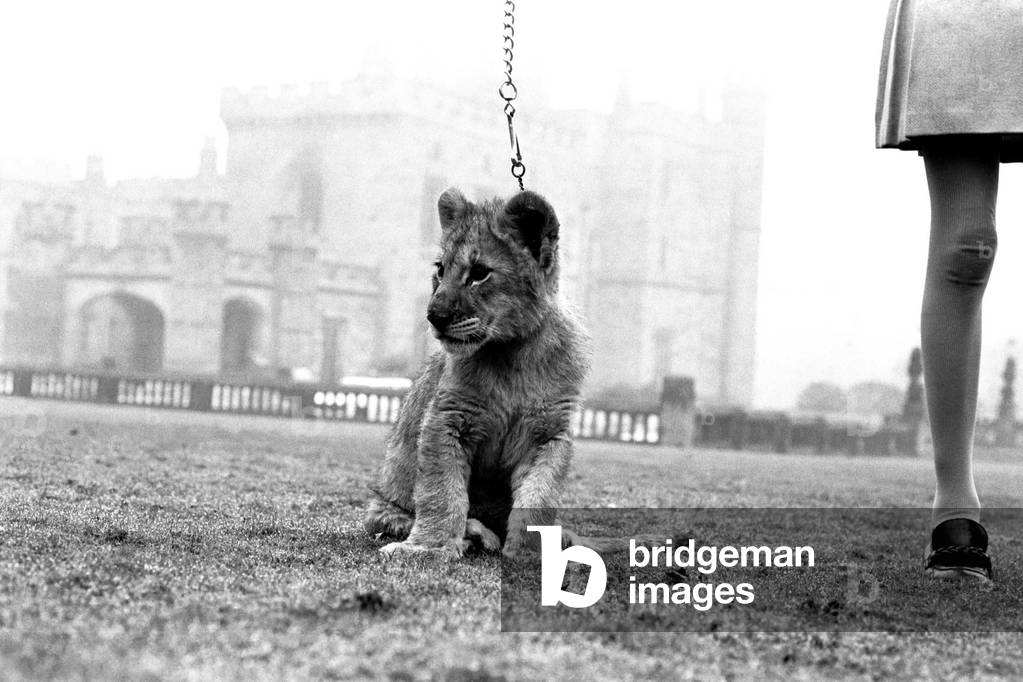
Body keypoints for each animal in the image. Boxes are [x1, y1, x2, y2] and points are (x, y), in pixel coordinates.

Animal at [363, 187, 590, 558]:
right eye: (441, 270)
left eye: (480, 272)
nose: (434, 315)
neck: (512, 355)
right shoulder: (446, 419)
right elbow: (442, 492)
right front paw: (429, 548)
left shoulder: (549, 433)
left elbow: (539, 497)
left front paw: (533, 554)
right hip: (383, 504)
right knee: (394, 517)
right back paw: (476, 533)